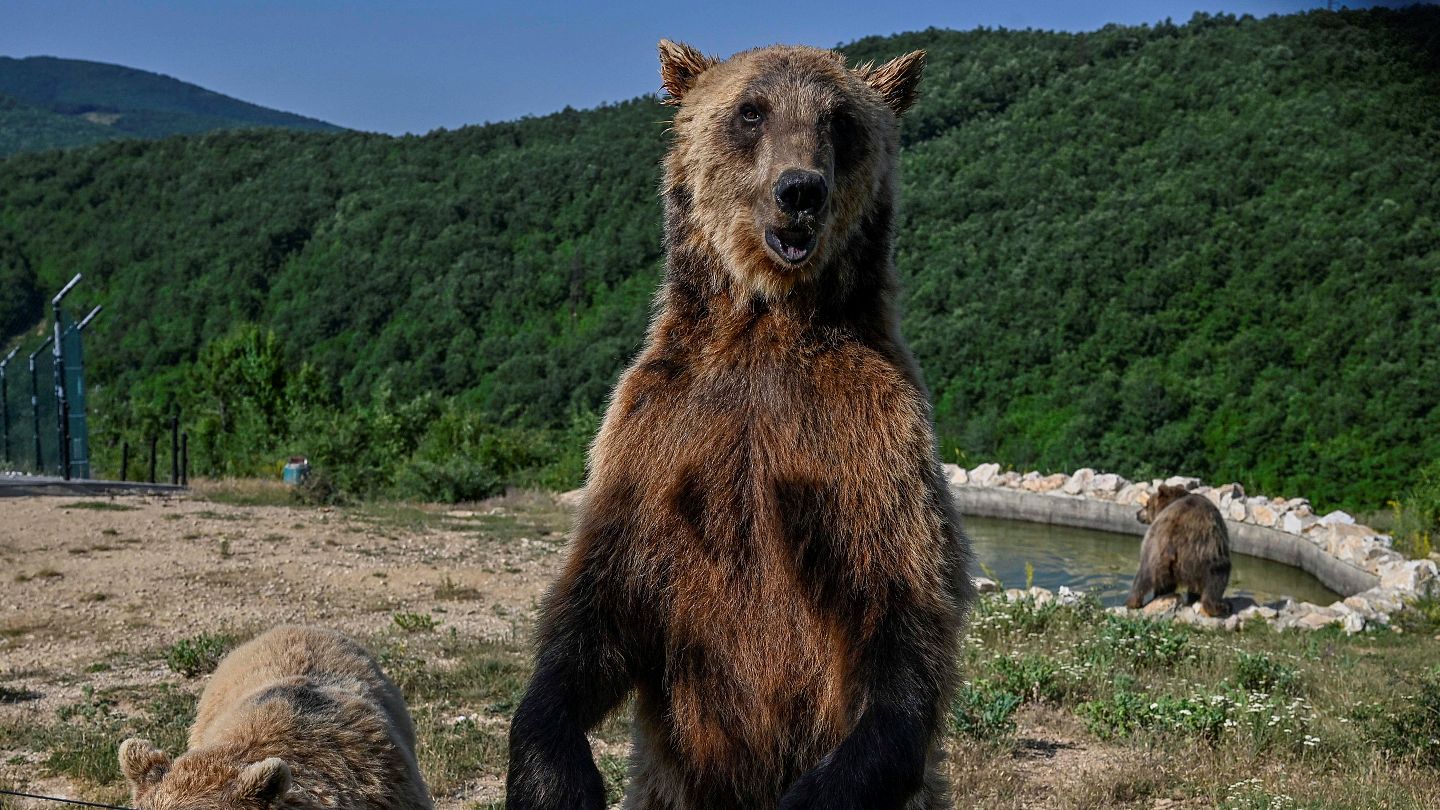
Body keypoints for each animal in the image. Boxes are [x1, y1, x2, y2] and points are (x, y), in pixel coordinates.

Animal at [501, 39, 973, 807]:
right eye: (752, 111)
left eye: (840, 120)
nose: (800, 189)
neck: (764, 324)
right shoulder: (656, 429)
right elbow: (595, 603)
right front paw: (553, 777)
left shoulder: (871, 435)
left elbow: (901, 610)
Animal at [1128, 481, 1232, 613]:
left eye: (1146, 505)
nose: (1137, 514)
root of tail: (1171, 541)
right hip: (1202, 553)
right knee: (1218, 573)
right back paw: (1218, 606)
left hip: (1153, 550)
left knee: (1143, 577)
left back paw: (1134, 602)